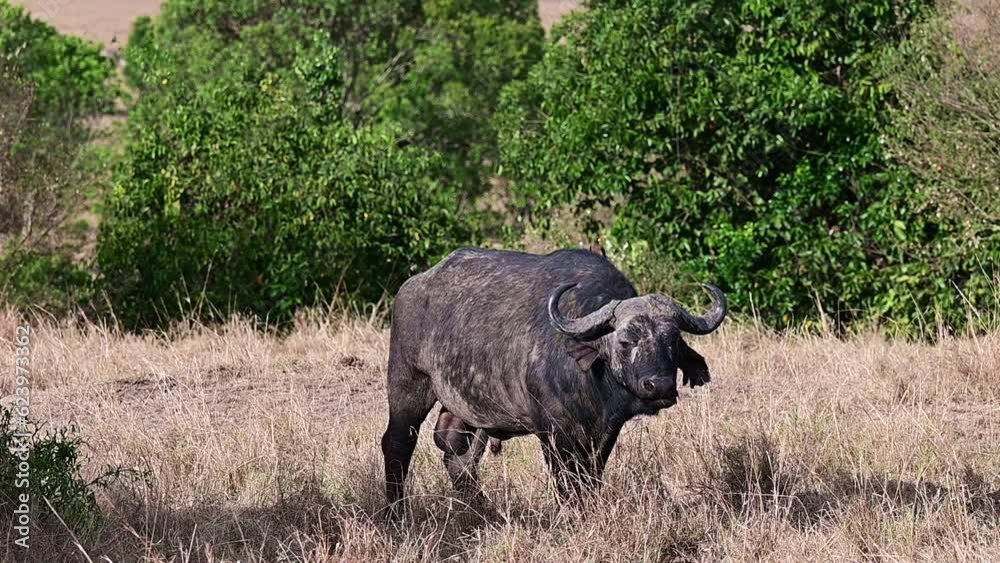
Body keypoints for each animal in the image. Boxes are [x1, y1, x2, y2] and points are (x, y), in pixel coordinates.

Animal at [381, 247, 726, 518]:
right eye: (626, 342)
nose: (660, 386)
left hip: (471, 411)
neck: (590, 381)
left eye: (673, 342)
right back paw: (396, 512)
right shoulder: (555, 432)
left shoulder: (604, 433)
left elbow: (590, 476)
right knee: (397, 444)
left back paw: (483, 510)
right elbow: (566, 479)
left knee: (459, 457)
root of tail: (413, 286)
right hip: (408, 384)